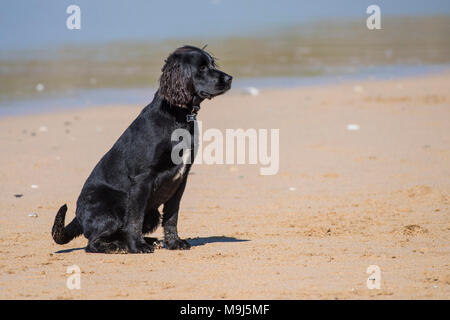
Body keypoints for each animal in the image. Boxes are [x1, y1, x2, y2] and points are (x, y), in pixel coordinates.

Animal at [51, 46, 232, 254]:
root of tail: (78, 217)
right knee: (92, 243)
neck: (177, 116)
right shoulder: (143, 179)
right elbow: (135, 219)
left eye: (212, 64)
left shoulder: (181, 179)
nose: (229, 78)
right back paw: (118, 246)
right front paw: (138, 246)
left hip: (152, 214)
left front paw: (174, 242)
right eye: (201, 68)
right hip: (113, 207)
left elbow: (172, 216)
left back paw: (147, 241)